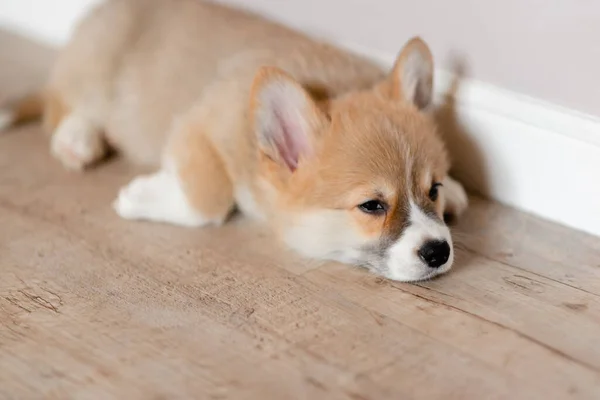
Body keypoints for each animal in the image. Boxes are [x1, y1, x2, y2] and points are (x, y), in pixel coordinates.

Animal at [1, 0, 468, 282]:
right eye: (372, 206)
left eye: (433, 189)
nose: (438, 251)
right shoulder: (196, 128)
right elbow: (209, 200)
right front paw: (142, 196)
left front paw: (459, 191)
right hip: (97, 74)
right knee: (60, 105)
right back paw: (77, 138)